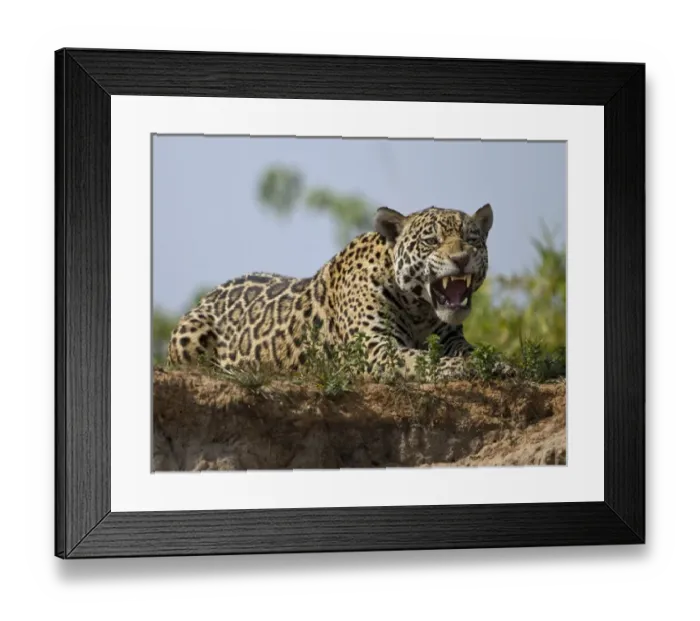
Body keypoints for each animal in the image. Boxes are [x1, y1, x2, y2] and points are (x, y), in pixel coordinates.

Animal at [166, 203, 501, 381]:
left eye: (472, 239)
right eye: (431, 241)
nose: (461, 258)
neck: (421, 311)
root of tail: (211, 293)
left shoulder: (451, 338)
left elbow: (471, 350)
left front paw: (496, 363)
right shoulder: (374, 348)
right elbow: (421, 360)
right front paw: (462, 367)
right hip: (189, 334)